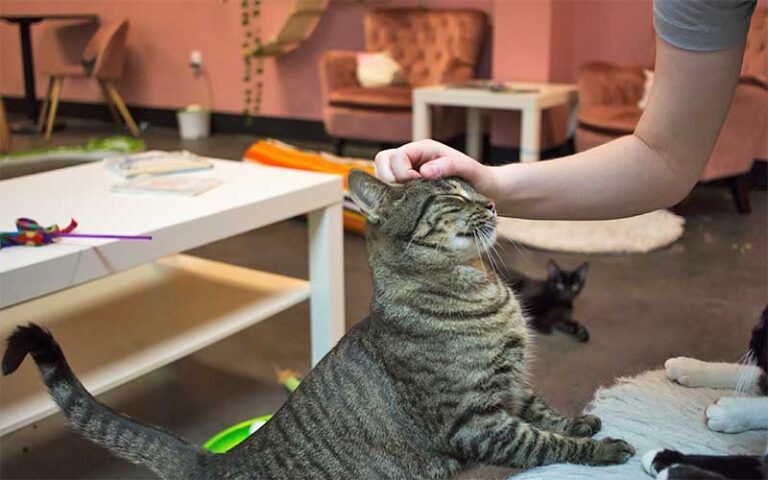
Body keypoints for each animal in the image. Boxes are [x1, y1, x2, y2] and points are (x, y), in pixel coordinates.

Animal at [1, 171, 636, 478]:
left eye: (473, 184)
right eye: (454, 196)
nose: (494, 204)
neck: (479, 287)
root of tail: (211, 462)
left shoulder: (507, 388)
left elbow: (542, 410)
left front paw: (583, 422)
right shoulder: (473, 421)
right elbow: (539, 440)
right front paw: (603, 450)